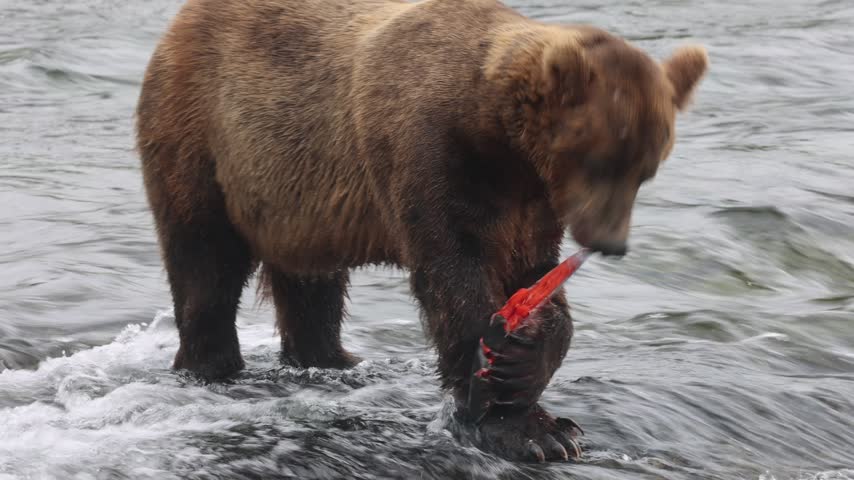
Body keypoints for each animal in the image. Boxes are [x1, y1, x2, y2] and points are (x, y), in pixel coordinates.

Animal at [135, 0, 707, 462]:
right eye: (600, 160)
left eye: (646, 168)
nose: (610, 242)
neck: (501, 142)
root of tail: (179, 23)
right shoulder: (429, 152)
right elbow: (454, 272)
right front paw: (525, 427)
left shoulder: (532, 205)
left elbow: (536, 274)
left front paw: (529, 370)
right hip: (205, 137)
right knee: (204, 262)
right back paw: (212, 365)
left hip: (295, 200)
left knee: (312, 283)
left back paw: (332, 360)